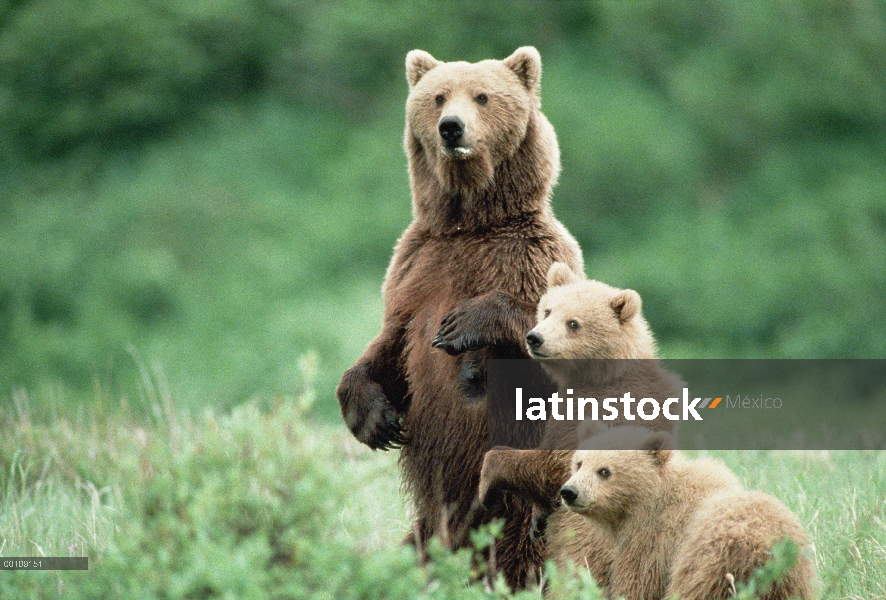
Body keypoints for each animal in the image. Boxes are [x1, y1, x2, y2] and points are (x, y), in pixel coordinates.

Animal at [338, 48, 584, 592]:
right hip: (432, 525)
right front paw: (374, 418)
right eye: (437, 96)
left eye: (483, 96)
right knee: (416, 548)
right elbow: (389, 347)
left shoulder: (531, 256)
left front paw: (464, 327)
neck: (469, 223)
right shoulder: (414, 270)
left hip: (519, 502)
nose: (452, 127)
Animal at [564, 426, 816, 600]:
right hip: (792, 579)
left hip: (708, 561)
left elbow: (638, 582)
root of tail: (765, 552)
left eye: (605, 471)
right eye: (579, 463)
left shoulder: (654, 541)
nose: (570, 492)